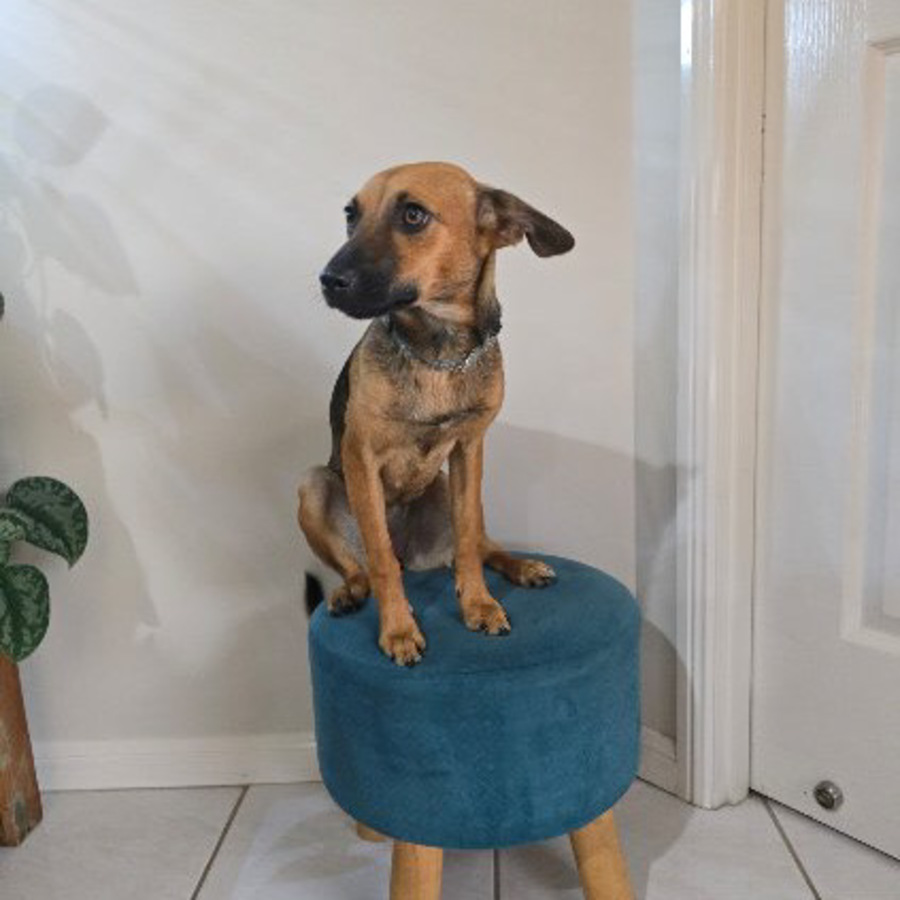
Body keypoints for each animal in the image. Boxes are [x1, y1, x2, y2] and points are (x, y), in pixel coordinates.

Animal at [298, 162, 574, 666]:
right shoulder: (360, 454)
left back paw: (522, 566)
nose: (328, 279)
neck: (438, 349)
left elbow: (467, 544)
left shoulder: (470, 449)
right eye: (351, 215)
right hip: (313, 484)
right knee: (363, 566)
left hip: (448, 487)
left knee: (483, 544)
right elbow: (380, 560)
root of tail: (414, 555)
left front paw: (479, 604)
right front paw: (398, 629)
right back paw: (351, 592)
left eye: (413, 215)